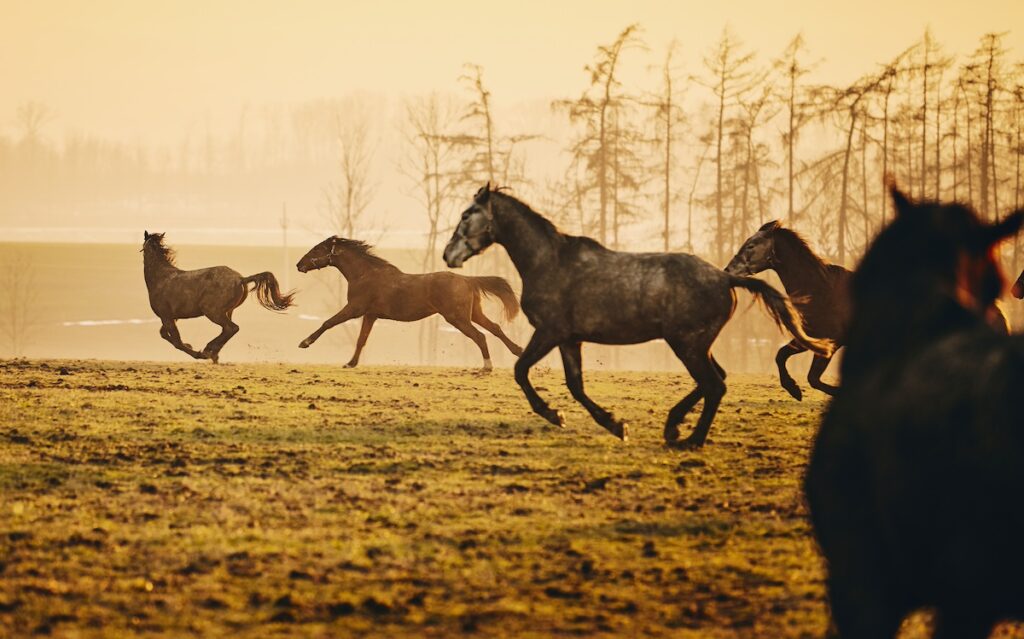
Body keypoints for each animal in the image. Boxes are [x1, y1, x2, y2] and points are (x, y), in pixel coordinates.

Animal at [142, 231, 294, 363]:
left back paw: (209, 350)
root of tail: (241, 279)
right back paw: (214, 352)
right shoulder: (172, 316)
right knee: (227, 330)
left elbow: (176, 341)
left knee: (232, 328)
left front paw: (197, 353)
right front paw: (192, 346)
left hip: (212, 312)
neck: (161, 277)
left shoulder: (166, 316)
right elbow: (164, 334)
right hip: (226, 311)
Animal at [295, 236, 522, 370]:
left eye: (317, 249)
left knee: (480, 336)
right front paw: (351, 363)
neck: (364, 275)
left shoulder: (355, 309)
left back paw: (487, 366)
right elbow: (361, 339)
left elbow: (328, 322)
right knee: (495, 328)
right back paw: (517, 351)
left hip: (457, 318)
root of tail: (468, 280)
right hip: (473, 314)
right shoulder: (370, 315)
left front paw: (305, 342)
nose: (299, 265)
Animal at [442, 184, 832, 448]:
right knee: (715, 380)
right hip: (697, 344)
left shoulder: (550, 332)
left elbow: (522, 370)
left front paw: (560, 415)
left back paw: (689, 438)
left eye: (466, 215)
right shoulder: (569, 339)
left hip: (686, 345)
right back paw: (675, 426)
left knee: (714, 385)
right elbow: (575, 385)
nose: (448, 254)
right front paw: (614, 424)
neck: (550, 261)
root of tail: (725, 278)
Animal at [725, 221, 851, 400]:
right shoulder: (810, 338)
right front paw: (793, 388)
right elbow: (781, 356)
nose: (727, 270)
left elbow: (813, 378)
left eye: (751, 245)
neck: (823, 291)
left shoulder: (831, 342)